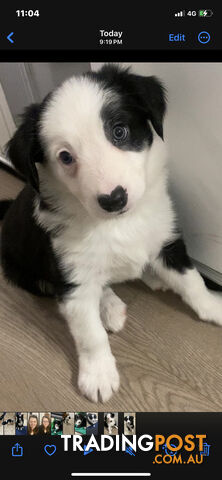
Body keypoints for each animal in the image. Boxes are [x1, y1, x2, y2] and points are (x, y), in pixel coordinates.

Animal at [0, 63, 222, 402]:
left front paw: (213, 306)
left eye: (119, 132)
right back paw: (110, 307)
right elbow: (90, 335)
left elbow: (192, 281)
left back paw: (151, 278)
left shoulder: (167, 240)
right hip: (28, 274)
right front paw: (98, 374)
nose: (114, 199)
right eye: (65, 156)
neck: (117, 223)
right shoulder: (72, 278)